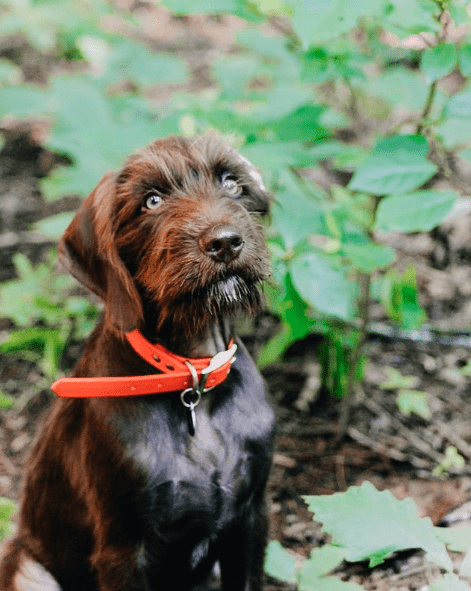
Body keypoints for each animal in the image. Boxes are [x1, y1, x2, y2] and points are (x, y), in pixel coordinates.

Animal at [0, 136, 276, 591]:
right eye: (151, 201)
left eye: (231, 183)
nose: (224, 242)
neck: (192, 375)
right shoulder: (123, 549)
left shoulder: (250, 522)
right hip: (30, 570)